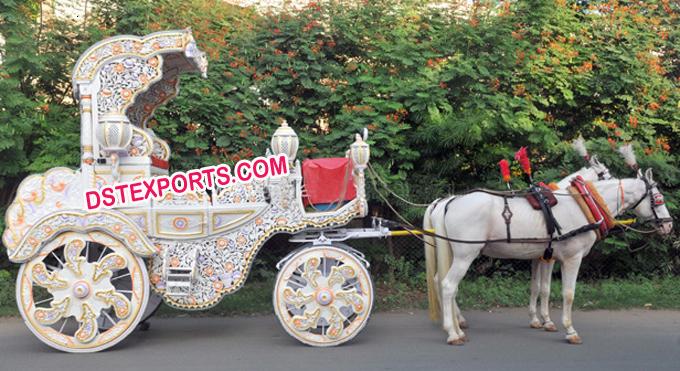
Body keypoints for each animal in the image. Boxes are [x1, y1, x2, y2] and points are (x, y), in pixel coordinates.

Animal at [424, 156, 612, 328]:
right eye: (605, 174)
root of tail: (448, 202)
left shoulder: (539, 257)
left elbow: (536, 287)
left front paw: (537, 319)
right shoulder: (551, 258)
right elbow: (546, 288)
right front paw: (547, 320)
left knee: (438, 280)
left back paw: (457, 320)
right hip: (464, 255)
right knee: (448, 284)